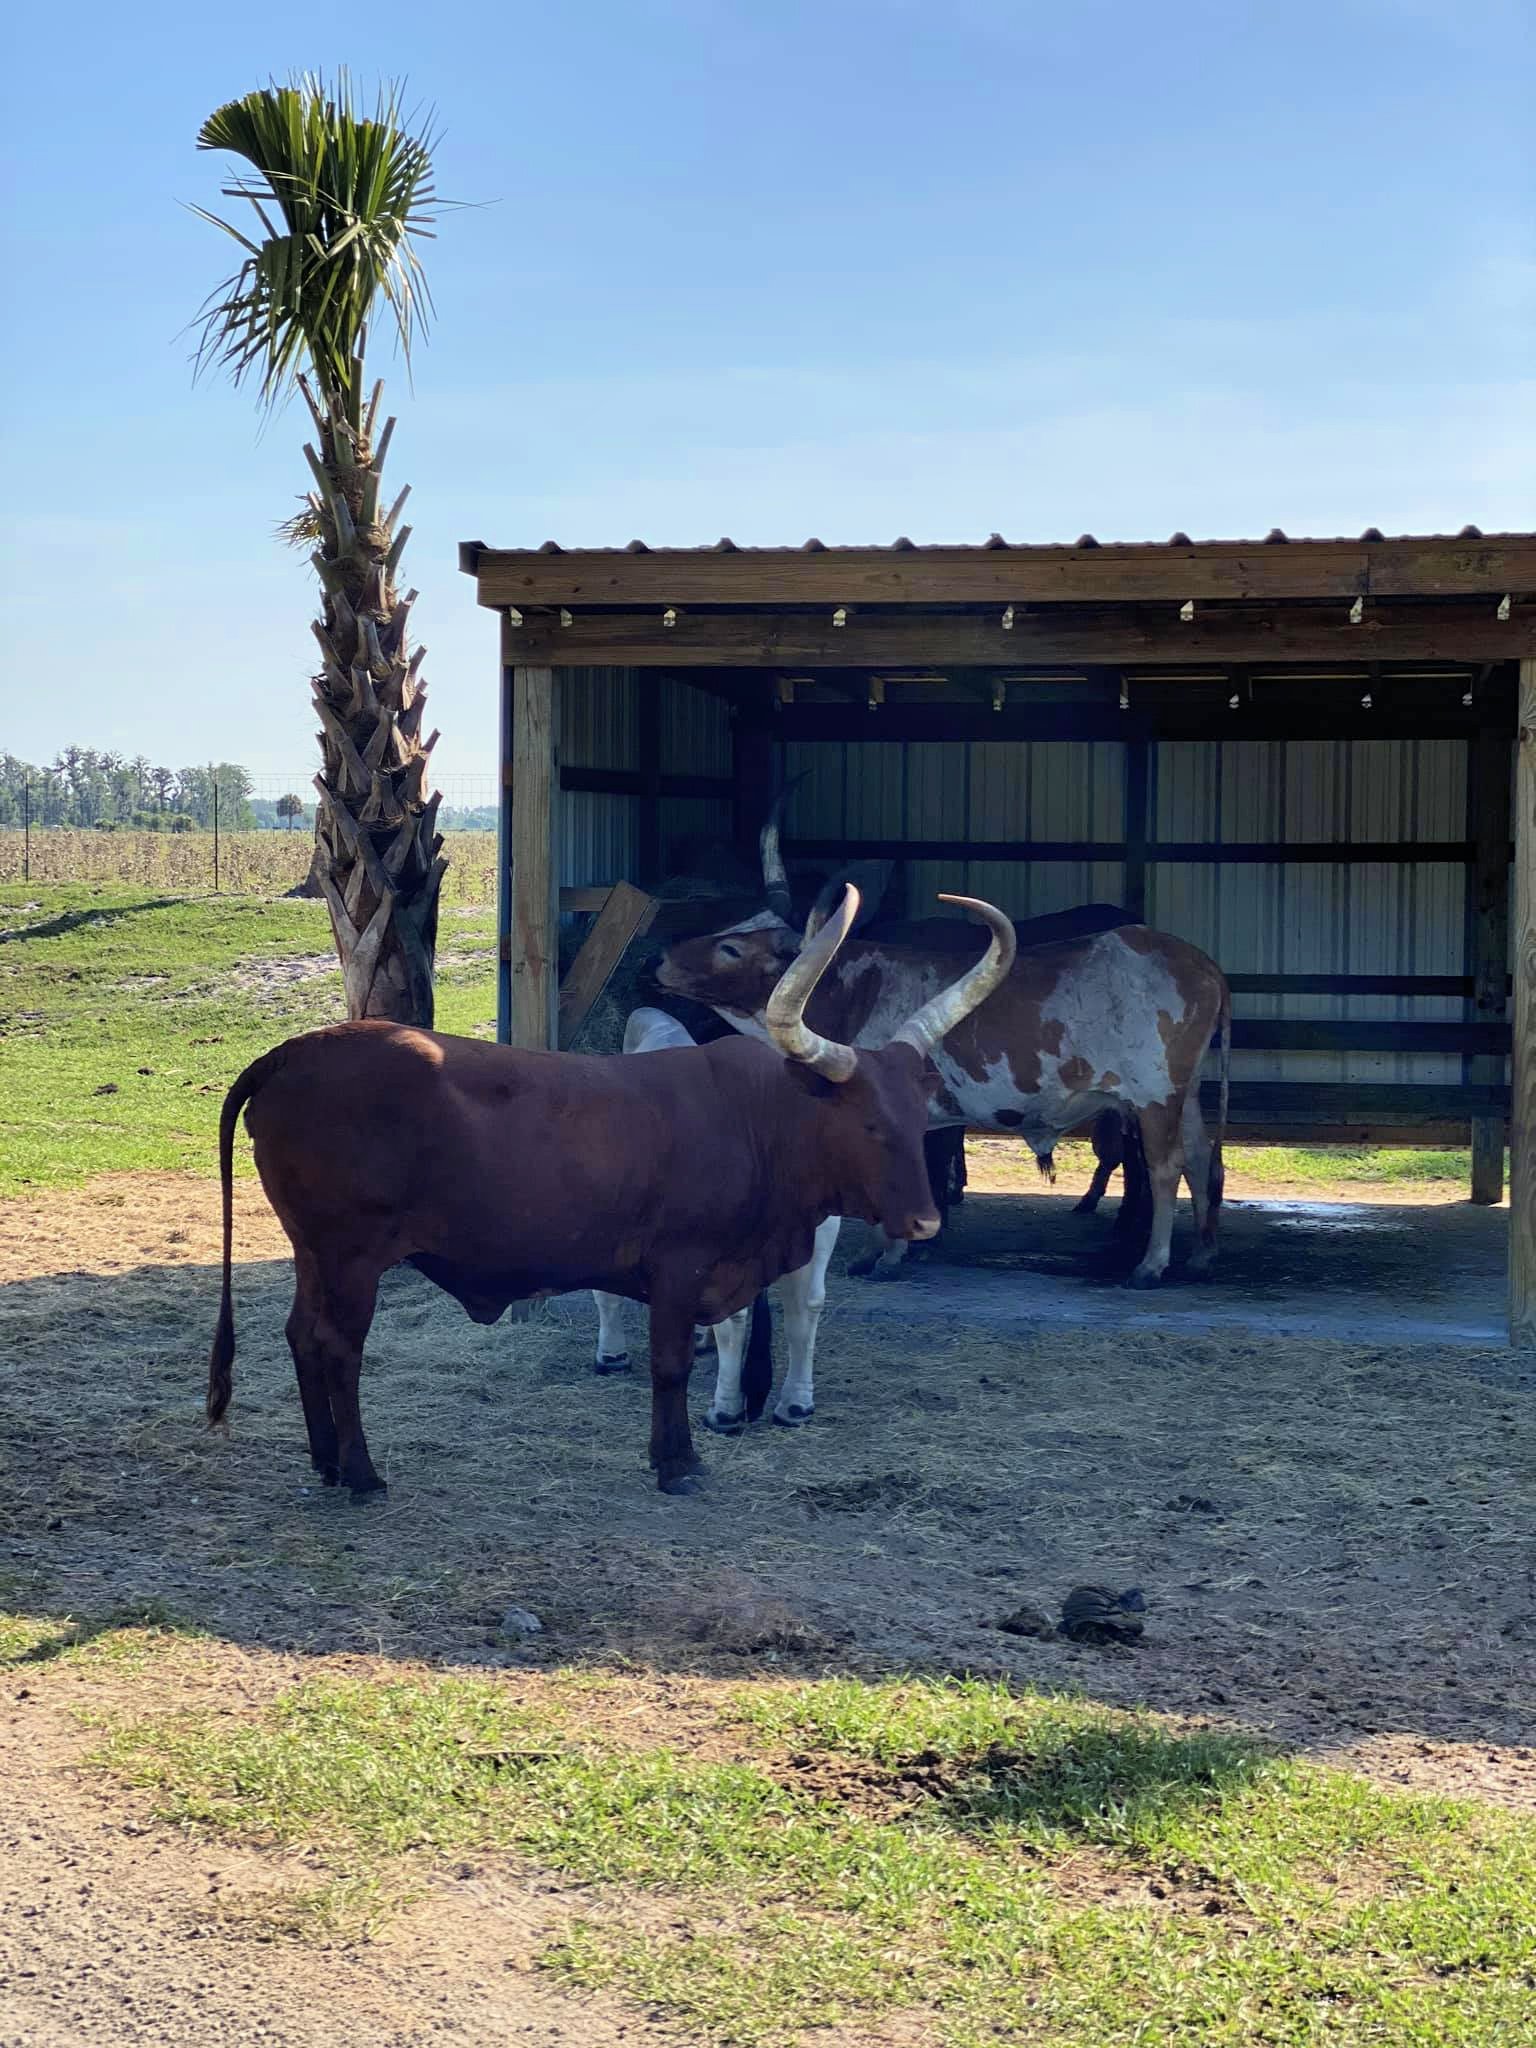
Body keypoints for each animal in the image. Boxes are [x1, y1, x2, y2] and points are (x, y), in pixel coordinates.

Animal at [207, 888, 1024, 1499]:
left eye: (917, 1117)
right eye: (866, 1122)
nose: (923, 1222)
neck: (756, 1118)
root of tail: (291, 1053)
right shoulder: (680, 1268)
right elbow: (672, 1365)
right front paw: (679, 1464)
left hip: (313, 1251)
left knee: (301, 1335)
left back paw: (324, 1461)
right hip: (351, 1257)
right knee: (339, 1348)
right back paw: (361, 1475)